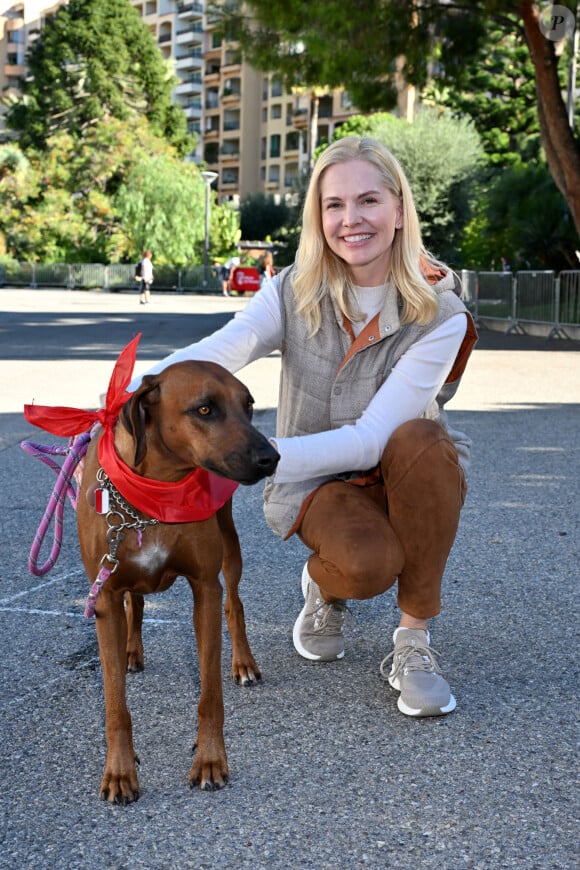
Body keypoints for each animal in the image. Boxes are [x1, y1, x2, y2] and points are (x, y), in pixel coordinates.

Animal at [76, 360, 280, 804]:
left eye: (249, 404)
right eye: (204, 409)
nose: (271, 457)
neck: (158, 491)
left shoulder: (205, 587)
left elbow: (210, 694)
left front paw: (210, 760)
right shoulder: (105, 596)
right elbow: (115, 704)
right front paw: (120, 771)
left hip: (229, 542)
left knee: (234, 603)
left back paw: (243, 663)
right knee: (136, 603)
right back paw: (131, 650)